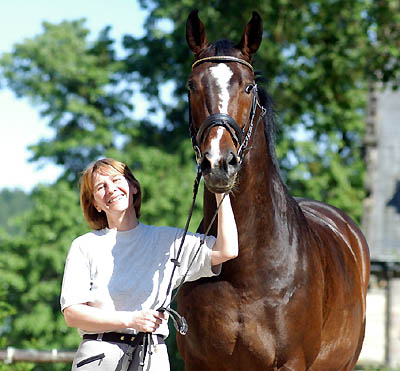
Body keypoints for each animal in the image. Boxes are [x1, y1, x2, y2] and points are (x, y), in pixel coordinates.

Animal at [177, 9, 370, 371]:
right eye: (192, 86)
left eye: (249, 87)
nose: (218, 163)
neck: (243, 270)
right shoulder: (197, 362)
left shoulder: (290, 362)